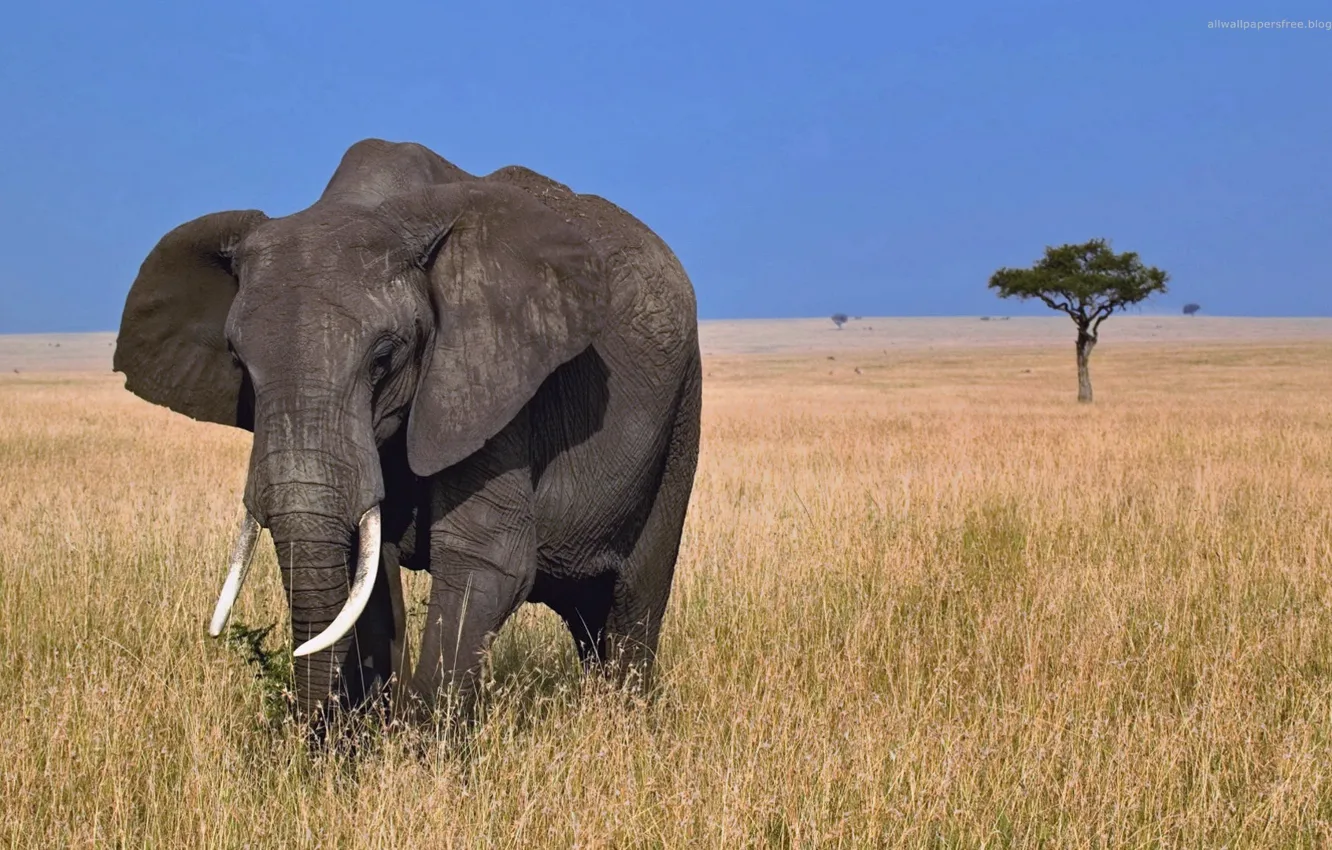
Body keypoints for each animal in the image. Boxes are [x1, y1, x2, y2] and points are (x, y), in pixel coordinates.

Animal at [114, 138, 702, 726]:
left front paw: (419, 741)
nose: (311, 729)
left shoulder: (490, 377)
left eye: (382, 360)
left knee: (632, 600)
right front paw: (366, 734)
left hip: (681, 412)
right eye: (238, 361)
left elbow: (486, 557)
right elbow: (367, 571)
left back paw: (624, 718)